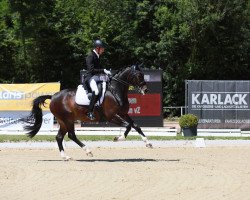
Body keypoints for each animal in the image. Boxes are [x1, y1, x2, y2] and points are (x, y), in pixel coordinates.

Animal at [23, 65, 152, 159]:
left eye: (143, 75)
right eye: (139, 75)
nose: (146, 90)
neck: (115, 91)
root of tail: (53, 96)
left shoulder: (123, 114)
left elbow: (135, 125)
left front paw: (147, 143)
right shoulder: (111, 116)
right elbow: (128, 126)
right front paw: (118, 138)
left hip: (63, 121)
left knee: (59, 137)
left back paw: (66, 157)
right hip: (67, 119)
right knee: (71, 135)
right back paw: (88, 151)